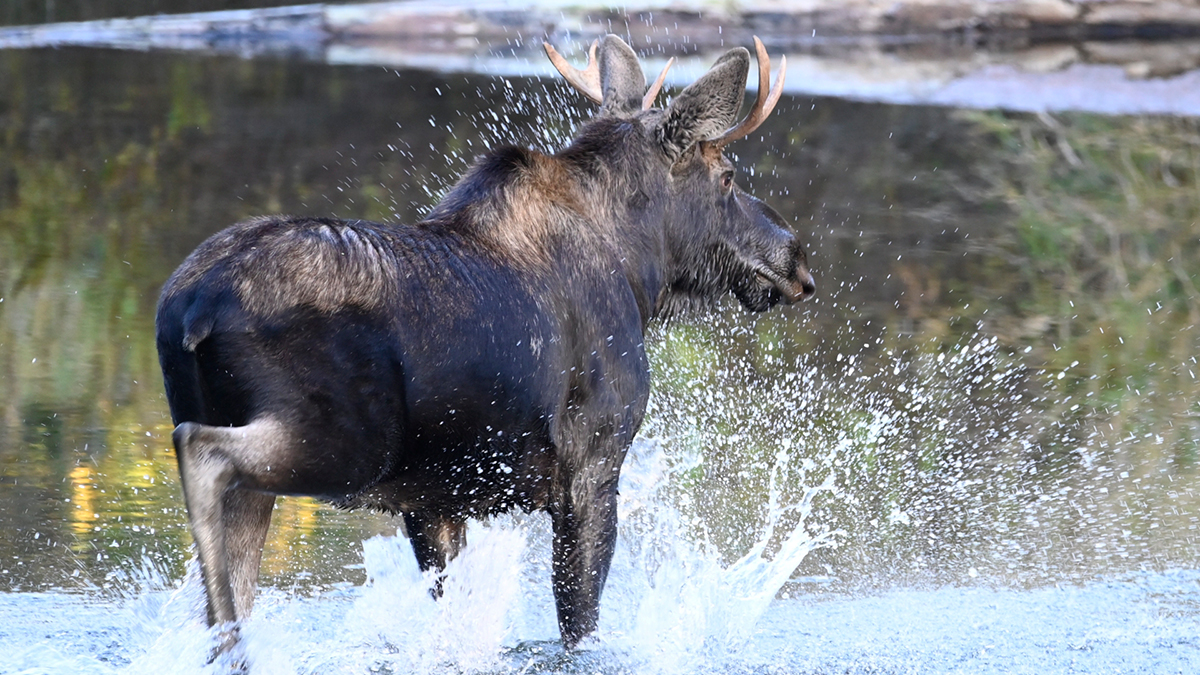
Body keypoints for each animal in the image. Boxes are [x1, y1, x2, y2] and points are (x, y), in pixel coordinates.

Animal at [154, 34, 816, 653]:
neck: (638, 271)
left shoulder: (436, 500)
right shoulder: (593, 460)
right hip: (346, 439)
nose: (796, 258)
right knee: (201, 454)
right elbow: (579, 622)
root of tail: (192, 308)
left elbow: (454, 613)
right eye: (727, 175)